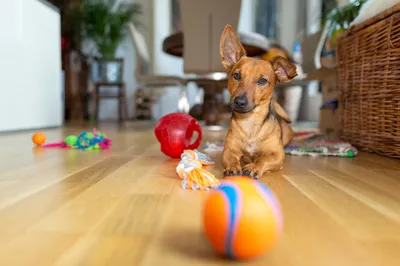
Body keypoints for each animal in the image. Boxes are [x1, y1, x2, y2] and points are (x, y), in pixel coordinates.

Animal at [219, 25, 296, 179]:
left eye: (262, 81)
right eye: (236, 75)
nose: (239, 102)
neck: (250, 122)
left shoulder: (277, 155)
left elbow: (263, 159)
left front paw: (254, 166)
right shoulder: (228, 150)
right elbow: (231, 158)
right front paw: (233, 166)